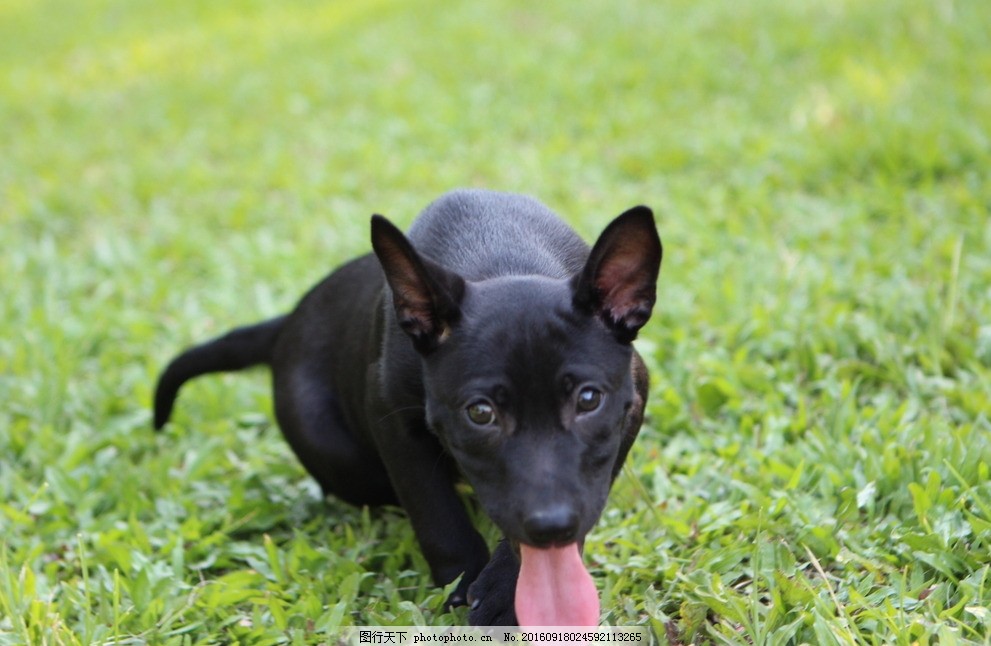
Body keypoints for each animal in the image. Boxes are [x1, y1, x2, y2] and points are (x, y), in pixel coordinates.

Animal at [155, 189, 664, 628]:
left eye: (588, 400)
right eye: (480, 413)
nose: (551, 524)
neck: (503, 260)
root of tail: (291, 320)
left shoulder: (630, 407)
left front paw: (506, 589)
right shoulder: (393, 420)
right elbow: (436, 514)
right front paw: (468, 582)